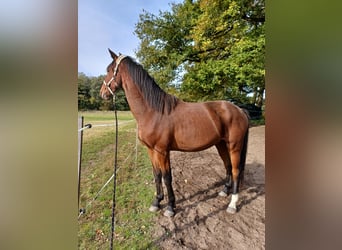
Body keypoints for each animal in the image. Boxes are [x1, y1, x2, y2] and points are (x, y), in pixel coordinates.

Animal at [99, 49, 248, 217]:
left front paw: (170, 207)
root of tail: (239, 110)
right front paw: (156, 202)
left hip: (234, 146)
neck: (154, 111)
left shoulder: (162, 151)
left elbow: (167, 177)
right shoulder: (151, 150)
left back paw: (232, 204)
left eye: (109, 70)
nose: (102, 93)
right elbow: (157, 175)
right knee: (227, 166)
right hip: (221, 144)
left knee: (235, 170)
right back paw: (224, 191)